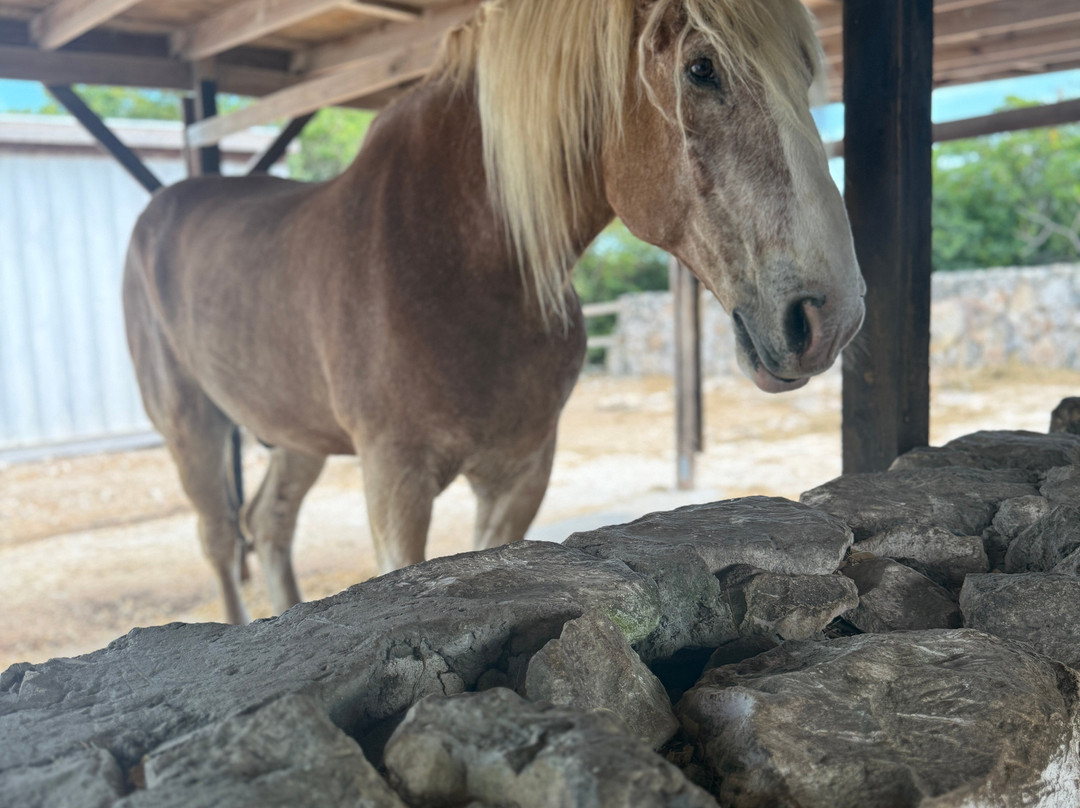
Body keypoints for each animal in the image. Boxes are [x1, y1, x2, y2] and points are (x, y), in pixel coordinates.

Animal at [123, 0, 865, 625]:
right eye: (701, 68)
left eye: (805, 72)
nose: (832, 316)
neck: (458, 255)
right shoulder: (394, 481)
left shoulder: (520, 472)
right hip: (193, 426)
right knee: (222, 537)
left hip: (298, 434)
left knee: (270, 523)